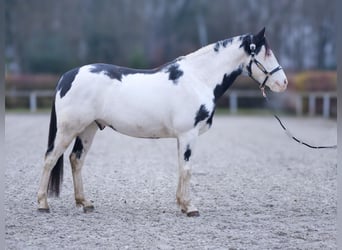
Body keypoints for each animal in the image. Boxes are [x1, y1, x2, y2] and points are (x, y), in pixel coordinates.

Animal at [37, 27, 288, 217]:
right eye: (266, 53)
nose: (283, 83)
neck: (198, 79)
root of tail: (67, 76)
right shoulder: (188, 134)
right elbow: (187, 169)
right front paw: (190, 208)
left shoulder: (182, 137)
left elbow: (181, 168)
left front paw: (182, 204)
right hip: (68, 129)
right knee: (50, 159)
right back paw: (43, 204)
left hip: (88, 129)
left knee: (76, 160)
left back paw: (84, 203)